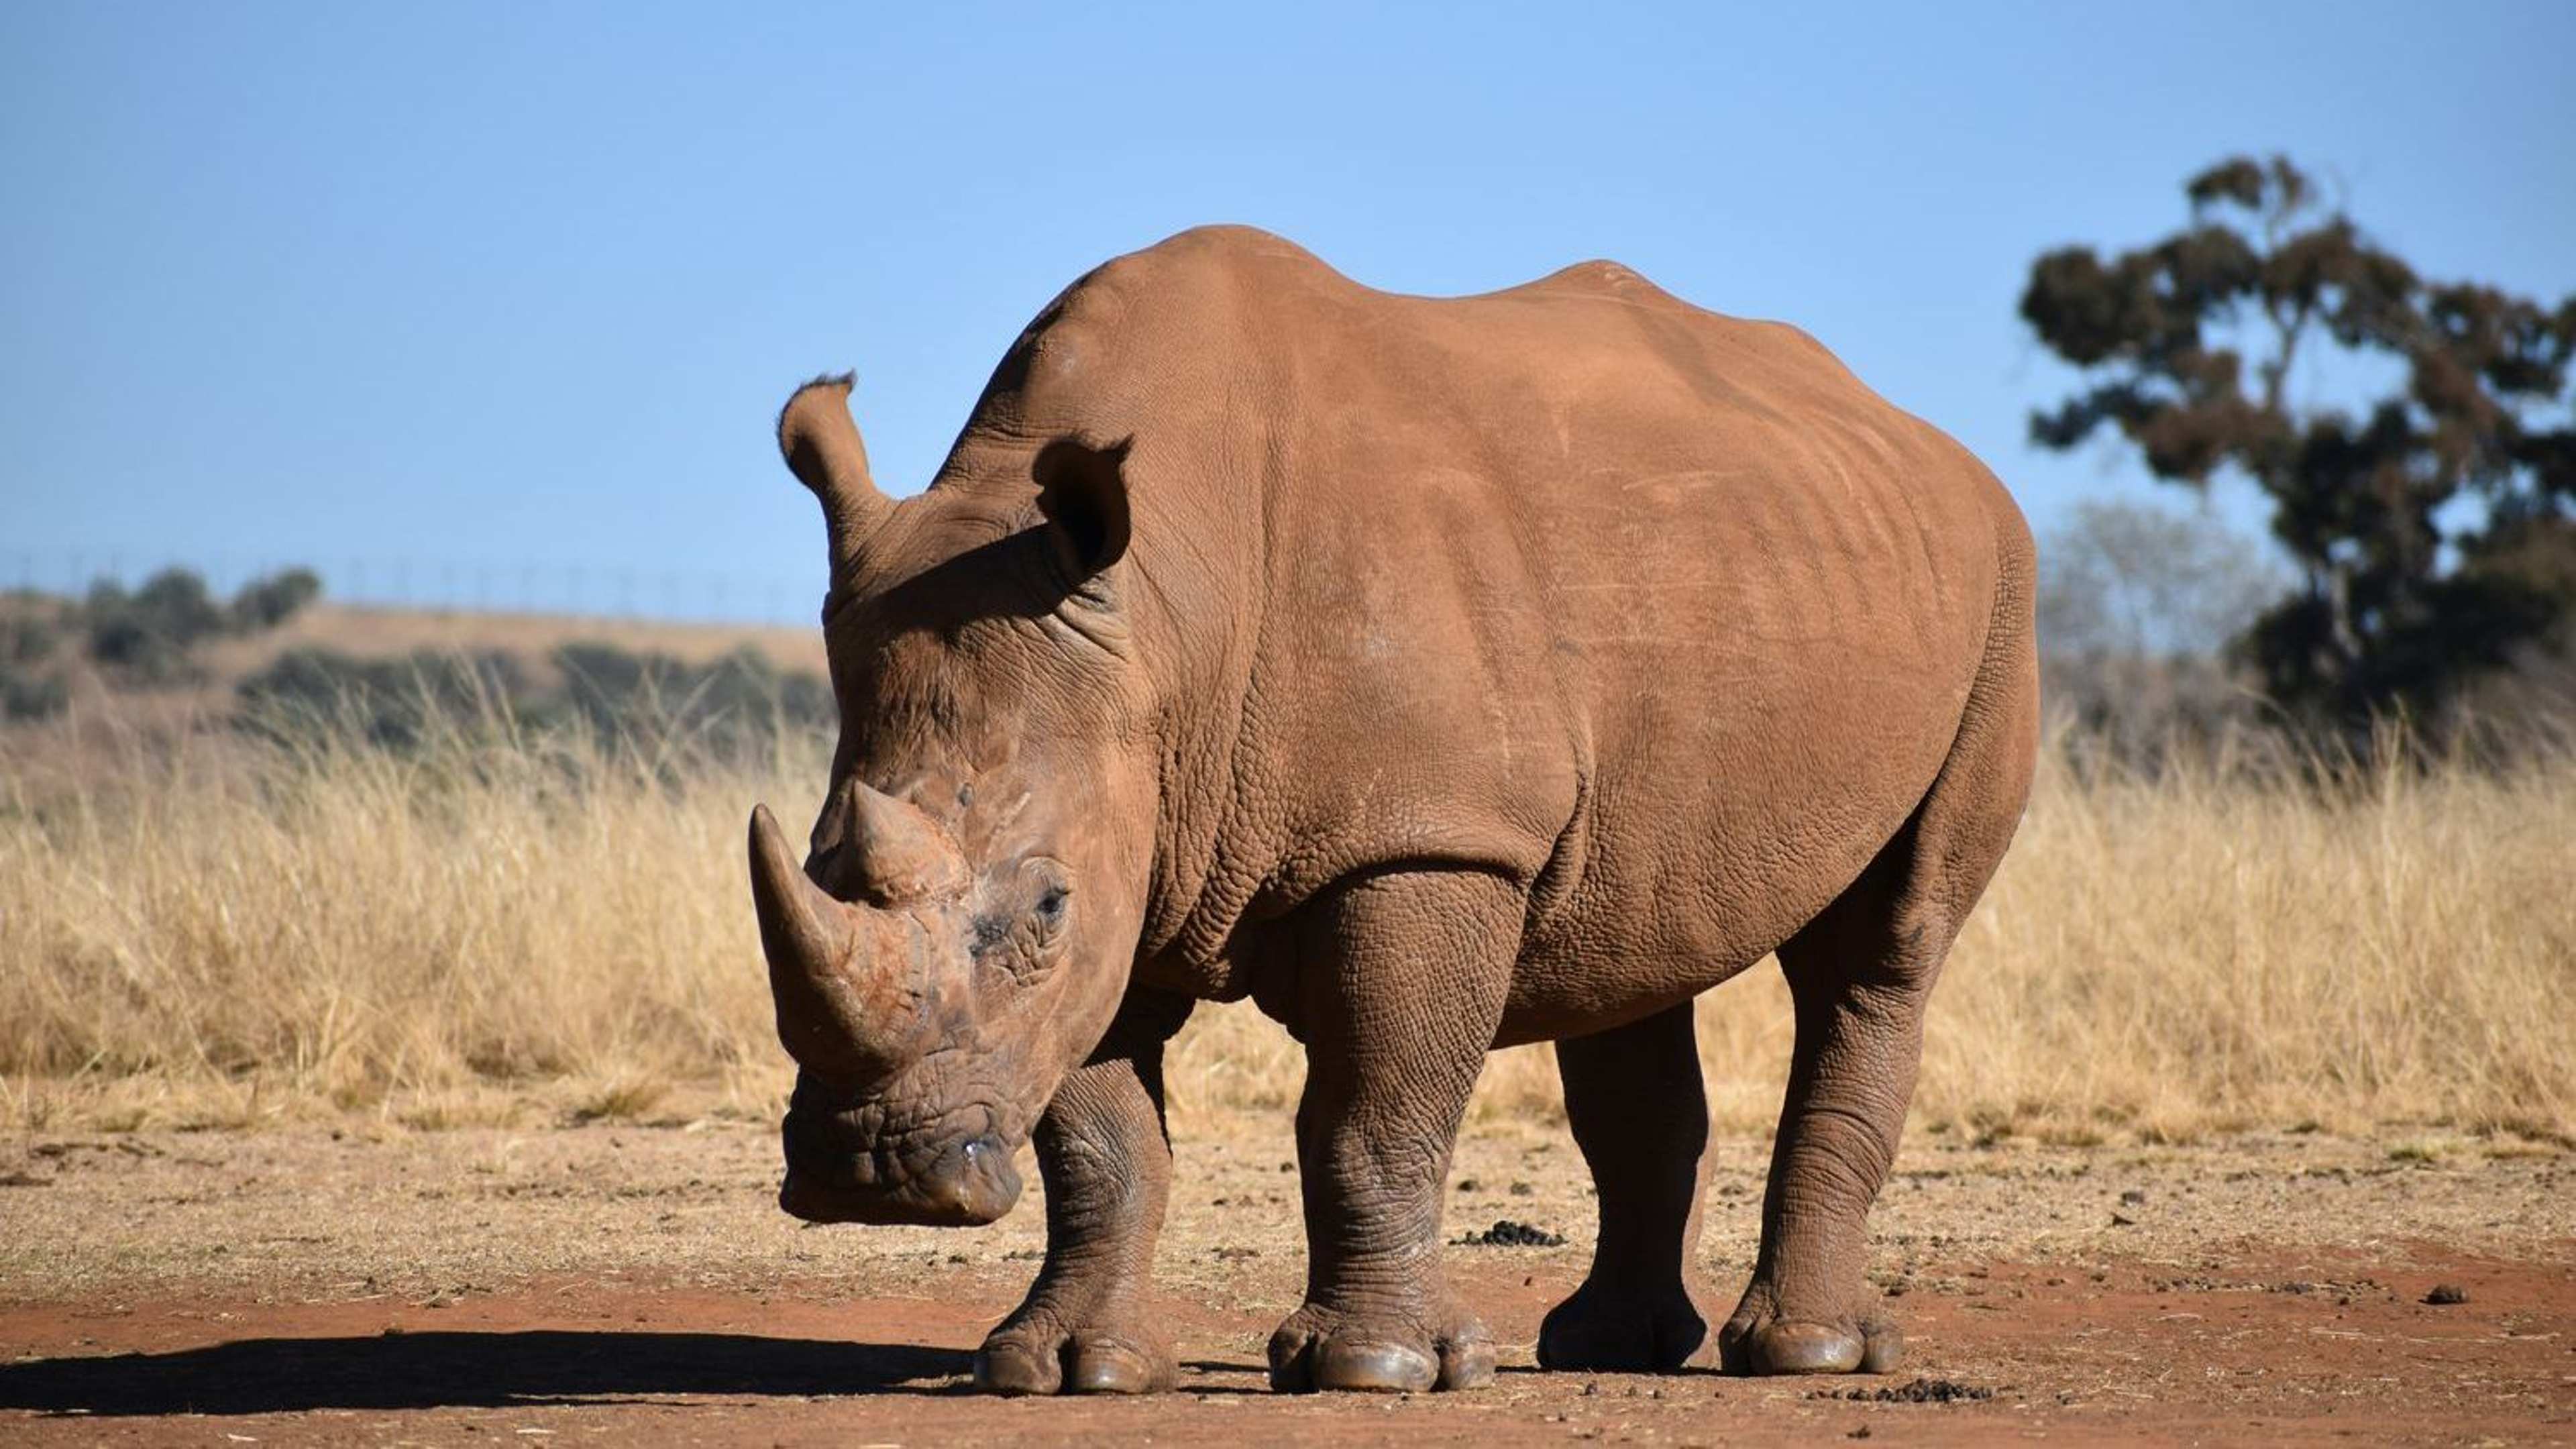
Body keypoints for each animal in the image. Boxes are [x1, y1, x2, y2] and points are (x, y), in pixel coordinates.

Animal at [748, 226, 2037, 1395]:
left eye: (1042, 912)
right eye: (815, 862)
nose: (867, 1173)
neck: (1166, 617)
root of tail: (1925, 440)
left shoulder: (1426, 836)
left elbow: (1371, 1113)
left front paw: (1375, 1370)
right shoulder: (1134, 828)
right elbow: (1098, 1135)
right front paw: (1067, 1371)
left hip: (1999, 596)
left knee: (1882, 949)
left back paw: (1806, 1355)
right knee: (1629, 949)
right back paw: (1608, 1349)